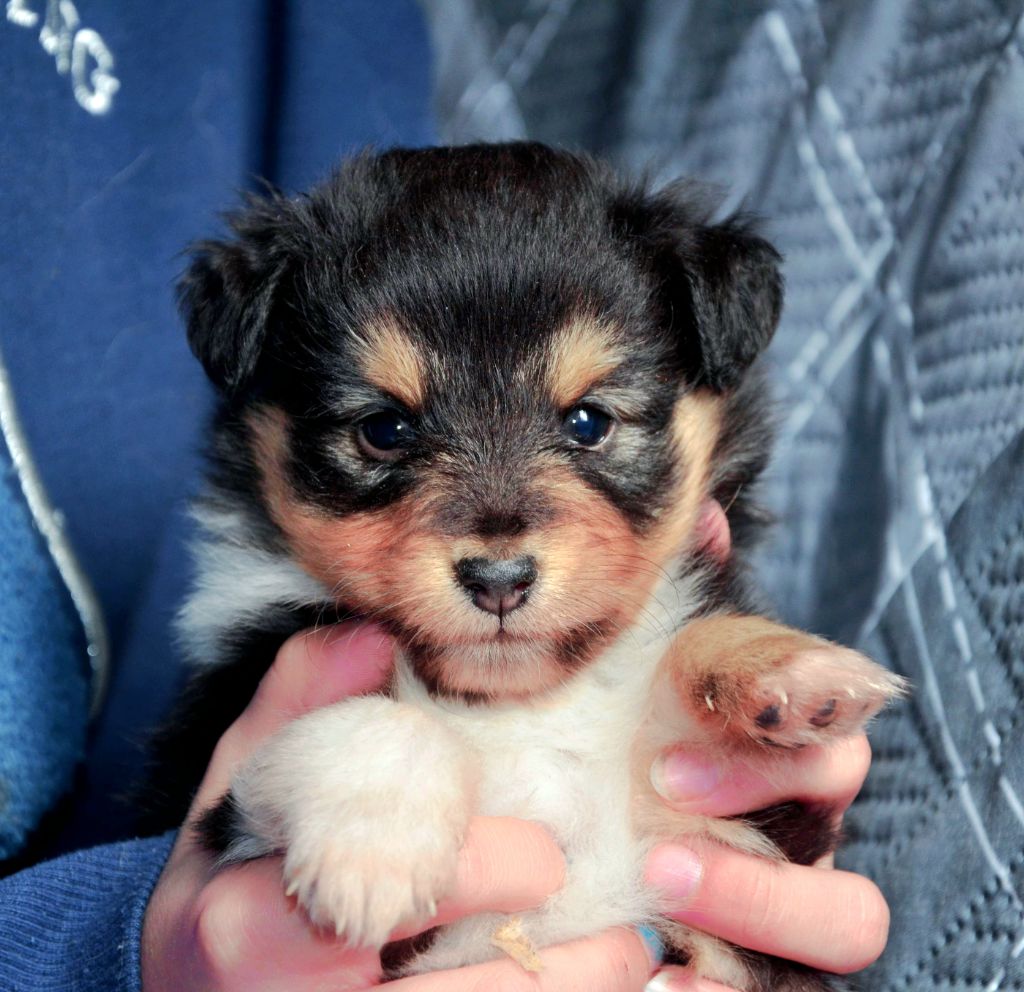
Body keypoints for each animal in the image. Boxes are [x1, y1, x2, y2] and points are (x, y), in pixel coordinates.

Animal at [149, 143, 905, 986]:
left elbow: (676, 655)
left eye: (589, 421)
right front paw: (371, 856)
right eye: (384, 428)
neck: (516, 707)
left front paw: (788, 672)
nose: (499, 581)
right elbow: (384, 721)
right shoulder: (215, 773)